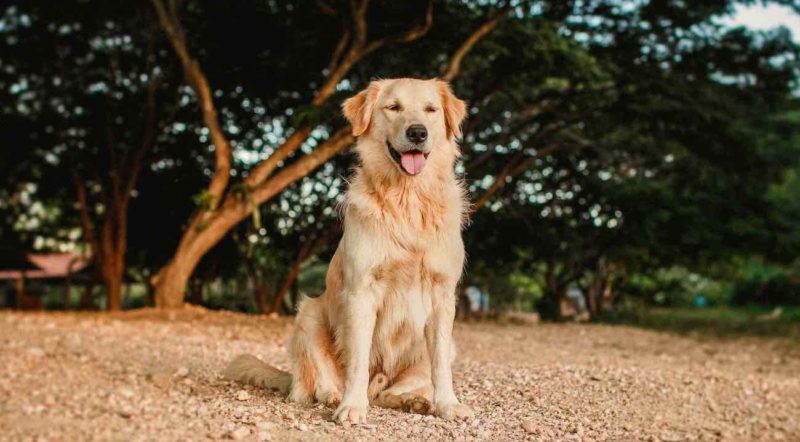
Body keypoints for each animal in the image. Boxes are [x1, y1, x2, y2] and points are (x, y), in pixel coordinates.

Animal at [225, 78, 472, 424]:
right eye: (393, 107)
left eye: (430, 110)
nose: (417, 133)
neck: (407, 199)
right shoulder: (361, 291)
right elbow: (357, 360)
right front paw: (352, 406)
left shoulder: (442, 295)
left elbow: (439, 367)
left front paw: (448, 404)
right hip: (308, 314)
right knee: (312, 386)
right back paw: (333, 396)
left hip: (449, 346)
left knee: (387, 393)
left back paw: (412, 401)